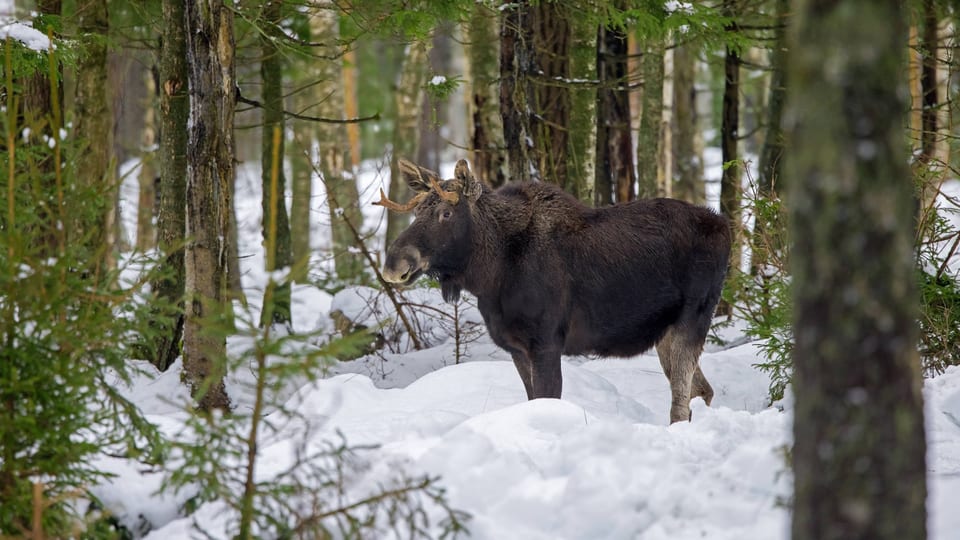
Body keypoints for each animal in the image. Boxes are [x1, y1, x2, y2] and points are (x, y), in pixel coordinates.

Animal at [378, 158, 732, 424]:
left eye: (446, 213)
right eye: (417, 212)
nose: (394, 263)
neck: (491, 274)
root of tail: (726, 227)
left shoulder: (546, 341)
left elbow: (548, 397)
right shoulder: (516, 347)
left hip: (695, 315)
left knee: (681, 401)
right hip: (665, 332)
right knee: (703, 390)